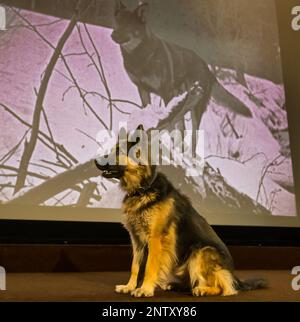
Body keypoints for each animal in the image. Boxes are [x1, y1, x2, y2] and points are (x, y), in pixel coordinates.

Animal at [95, 125, 266, 296]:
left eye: (118, 152)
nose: (95, 160)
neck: (144, 189)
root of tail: (234, 276)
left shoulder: (155, 239)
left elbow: (149, 266)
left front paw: (145, 289)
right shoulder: (137, 241)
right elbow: (135, 267)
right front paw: (129, 286)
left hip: (200, 252)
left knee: (224, 287)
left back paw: (203, 289)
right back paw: (176, 285)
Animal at [111, 1, 252, 131]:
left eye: (128, 25)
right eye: (117, 22)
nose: (112, 35)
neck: (139, 57)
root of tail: (208, 70)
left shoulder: (166, 92)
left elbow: (167, 124)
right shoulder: (142, 89)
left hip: (194, 109)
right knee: (182, 128)